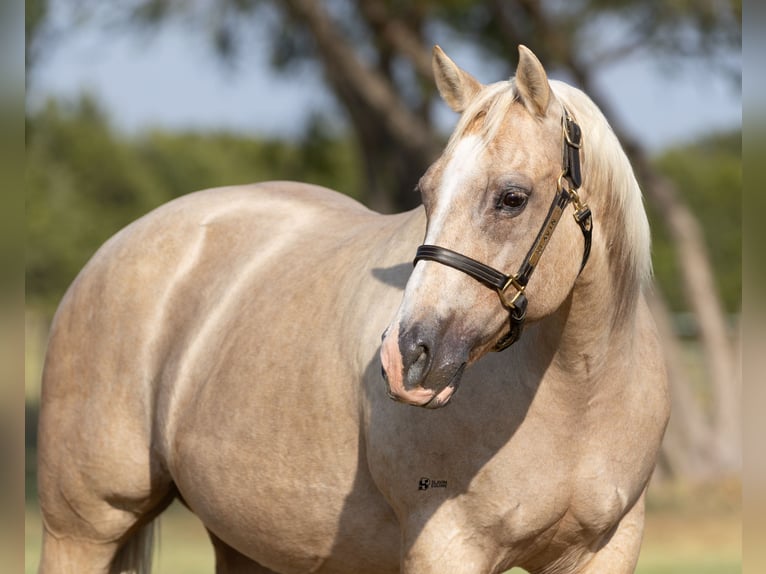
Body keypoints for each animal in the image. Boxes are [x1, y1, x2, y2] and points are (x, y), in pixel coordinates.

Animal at [37, 45, 669, 574]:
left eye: (512, 198)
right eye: (426, 193)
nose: (406, 357)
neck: (579, 394)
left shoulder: (606, 549)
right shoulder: (447, 546)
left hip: (246, 543)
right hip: (82, 530)